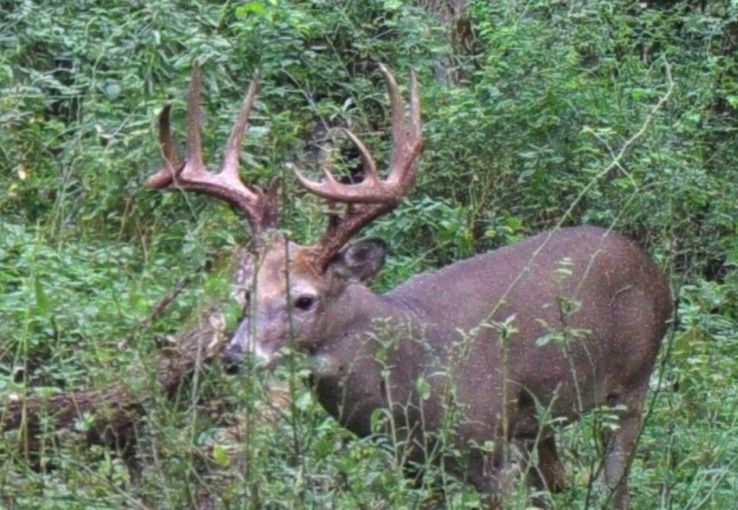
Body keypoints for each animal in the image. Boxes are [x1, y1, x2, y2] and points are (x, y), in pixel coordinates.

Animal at [147, 64, 668, 510]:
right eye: (247, 293)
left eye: (304, 299)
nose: (235, 355)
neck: (405, 370)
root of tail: (650, 265)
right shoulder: (414, 463)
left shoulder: (487, 449)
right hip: (539, 420)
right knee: (554, 482)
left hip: (634, 380)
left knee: (615, 483)